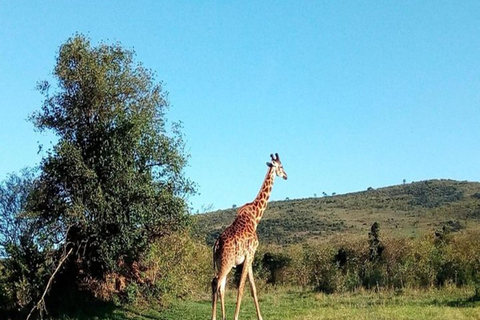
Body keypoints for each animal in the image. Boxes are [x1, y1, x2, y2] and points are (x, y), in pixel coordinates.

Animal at [209, 152, 284, 320]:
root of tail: (216, 244)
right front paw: (236, 317)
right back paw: (215, 317)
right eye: (281, 166)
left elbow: (253, 289)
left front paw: (260, 317)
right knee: (216, 283)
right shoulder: (250, 254)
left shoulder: (248, 257)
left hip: (222, 263)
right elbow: (242, 288)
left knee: (220, 285)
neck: (255, 217)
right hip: (227, 262)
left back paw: (222, 317)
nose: (286, 176)